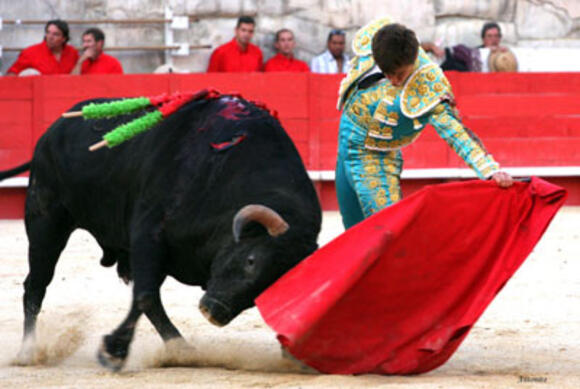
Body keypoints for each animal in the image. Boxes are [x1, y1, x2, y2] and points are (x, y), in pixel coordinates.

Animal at [3, 94, 322, 370]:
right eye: (251, 261)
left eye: (274, 285)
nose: (213, 312)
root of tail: (54, 129)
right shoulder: (148, 233)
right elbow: (145, 295)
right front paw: (117, 352)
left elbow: (145, 298)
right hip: (45, 222)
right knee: (36, 285)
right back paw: (28, 352)